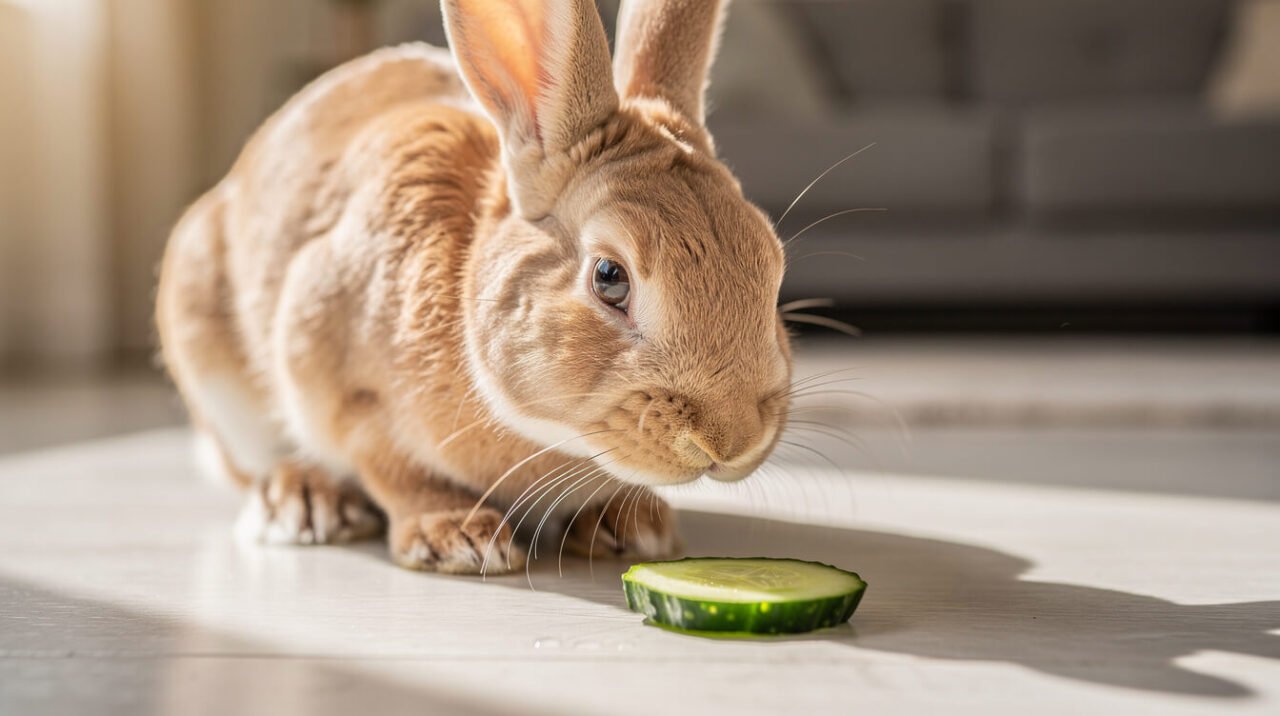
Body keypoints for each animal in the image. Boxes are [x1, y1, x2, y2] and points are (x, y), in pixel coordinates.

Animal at [156, 0, 793, 574]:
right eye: (610, 279)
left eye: (772, 261)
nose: (734, 440)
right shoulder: (342, 384)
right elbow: (395, 470)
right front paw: (459, 538)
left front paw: (635, 526)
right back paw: (306, 503)